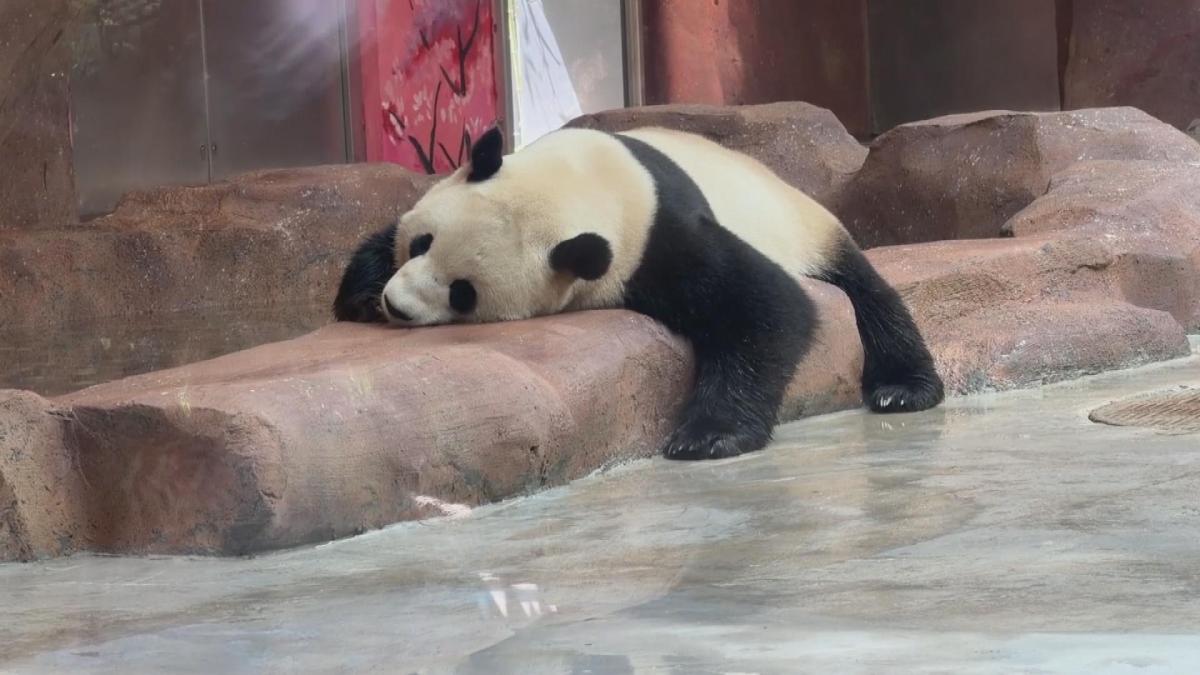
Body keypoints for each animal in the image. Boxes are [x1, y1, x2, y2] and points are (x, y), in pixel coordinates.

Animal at [334, 126, 944, 460]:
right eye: (422, 244)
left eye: (464, 293)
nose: (396, 306)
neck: (582, 180)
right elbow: (381, 236)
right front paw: (361, 295)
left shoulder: (658, 238)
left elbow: (767, 307)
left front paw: (707, 437)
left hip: (806, 230)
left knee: (871, 300)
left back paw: (902, 390)